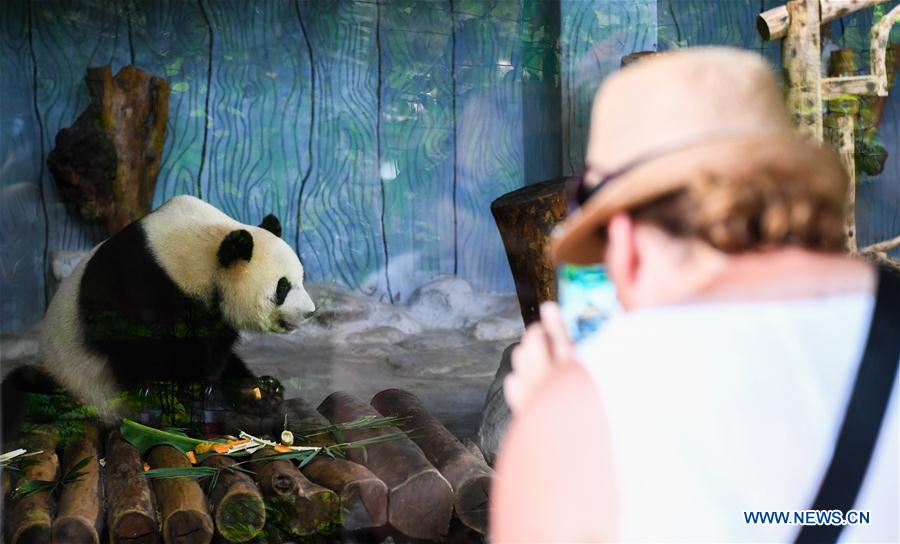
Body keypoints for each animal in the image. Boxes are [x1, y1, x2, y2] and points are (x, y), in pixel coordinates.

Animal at [0, 196, 316, 438]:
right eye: (283, 287)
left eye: (301, 278)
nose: (310, 311)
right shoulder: (138, 284)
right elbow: (145, 353)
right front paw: (188, 404)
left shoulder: (211, 313)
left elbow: (213, 357)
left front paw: (249, 393)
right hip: (76, 381)